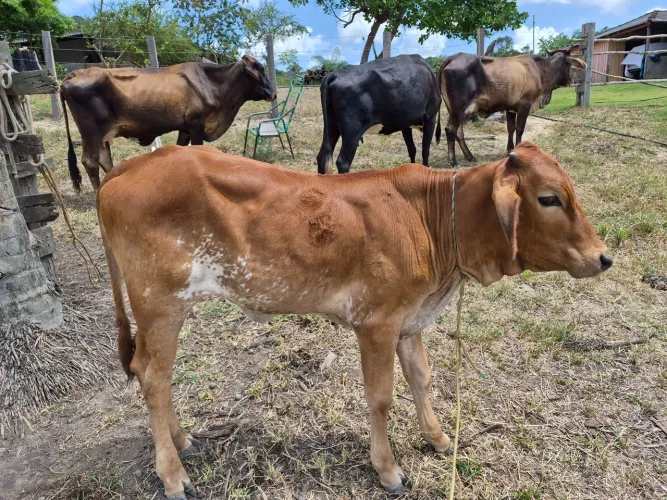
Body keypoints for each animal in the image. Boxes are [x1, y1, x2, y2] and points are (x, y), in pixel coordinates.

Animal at [60, 55, 275, 191]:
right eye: (260, 70)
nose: (273, 93)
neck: (213, 83)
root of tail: (77, 73)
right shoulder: (196, 124)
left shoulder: (185, 128)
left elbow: (181, 149)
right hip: (91, 132)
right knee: (90, 162)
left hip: (101, 135)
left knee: (104, 159)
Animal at [98, 142, 612, 498]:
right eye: (549, 198)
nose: (604, 257)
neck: (430, 221)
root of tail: (131, 166)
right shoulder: (376, 324)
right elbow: (381, 398)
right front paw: (388, 469)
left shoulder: (409, 320)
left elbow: (422, 379)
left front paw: (438, 438)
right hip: (160, 305)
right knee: (153, 377)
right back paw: (173, 476)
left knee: (153, 377)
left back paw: (182, 440)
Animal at [437, 48, 586, 167]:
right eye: (569, 65)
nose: (572, 80)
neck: (540, 70)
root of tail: (455, 57)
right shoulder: (525, 105)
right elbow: (519, 129)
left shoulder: (510, 108)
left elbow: (510, 128)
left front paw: (509, 149)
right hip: (458, 109)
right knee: (450, 130)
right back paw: (454, 162)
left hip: (455, 110)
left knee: (459, 132)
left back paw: (470, 156)